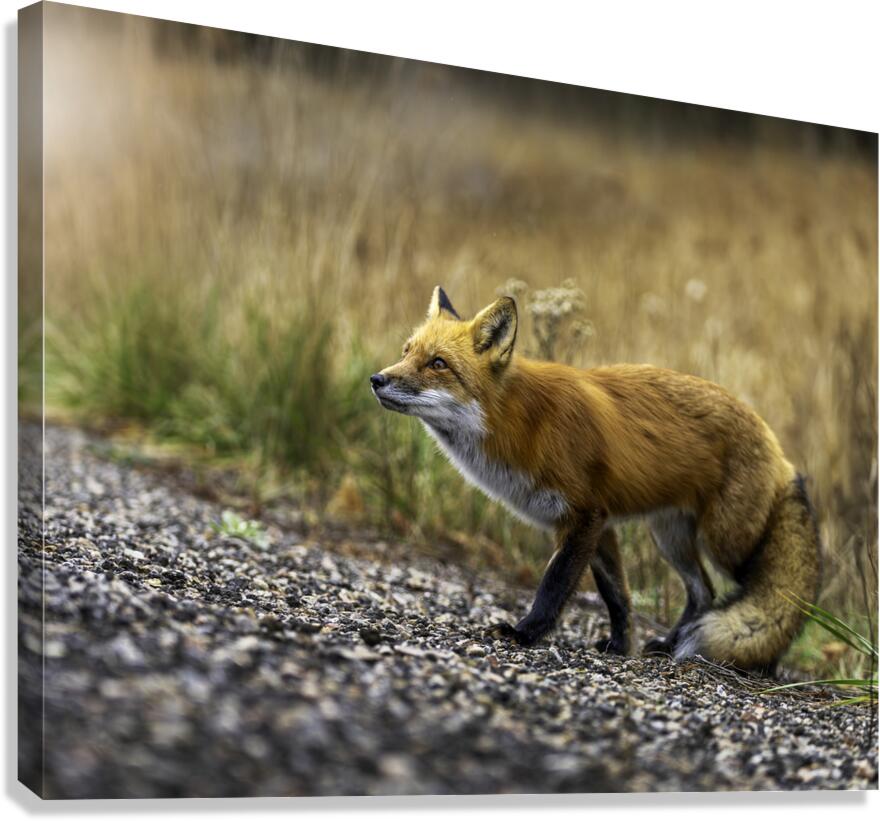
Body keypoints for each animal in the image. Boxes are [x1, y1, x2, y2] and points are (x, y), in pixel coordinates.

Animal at [370, 286, 821, 672]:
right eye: (407, 352)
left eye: (438, 364)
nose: (376, 379)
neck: (523, 423)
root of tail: (781, 455)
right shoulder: (600, 523)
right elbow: (617, 596)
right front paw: (621, 647)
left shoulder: (584, 515)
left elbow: (554, 586)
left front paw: (524, 633)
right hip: (670, 535)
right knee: (703, 592)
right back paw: (670, 645)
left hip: (727, 540)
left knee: (772, 593)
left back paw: (764, 662)